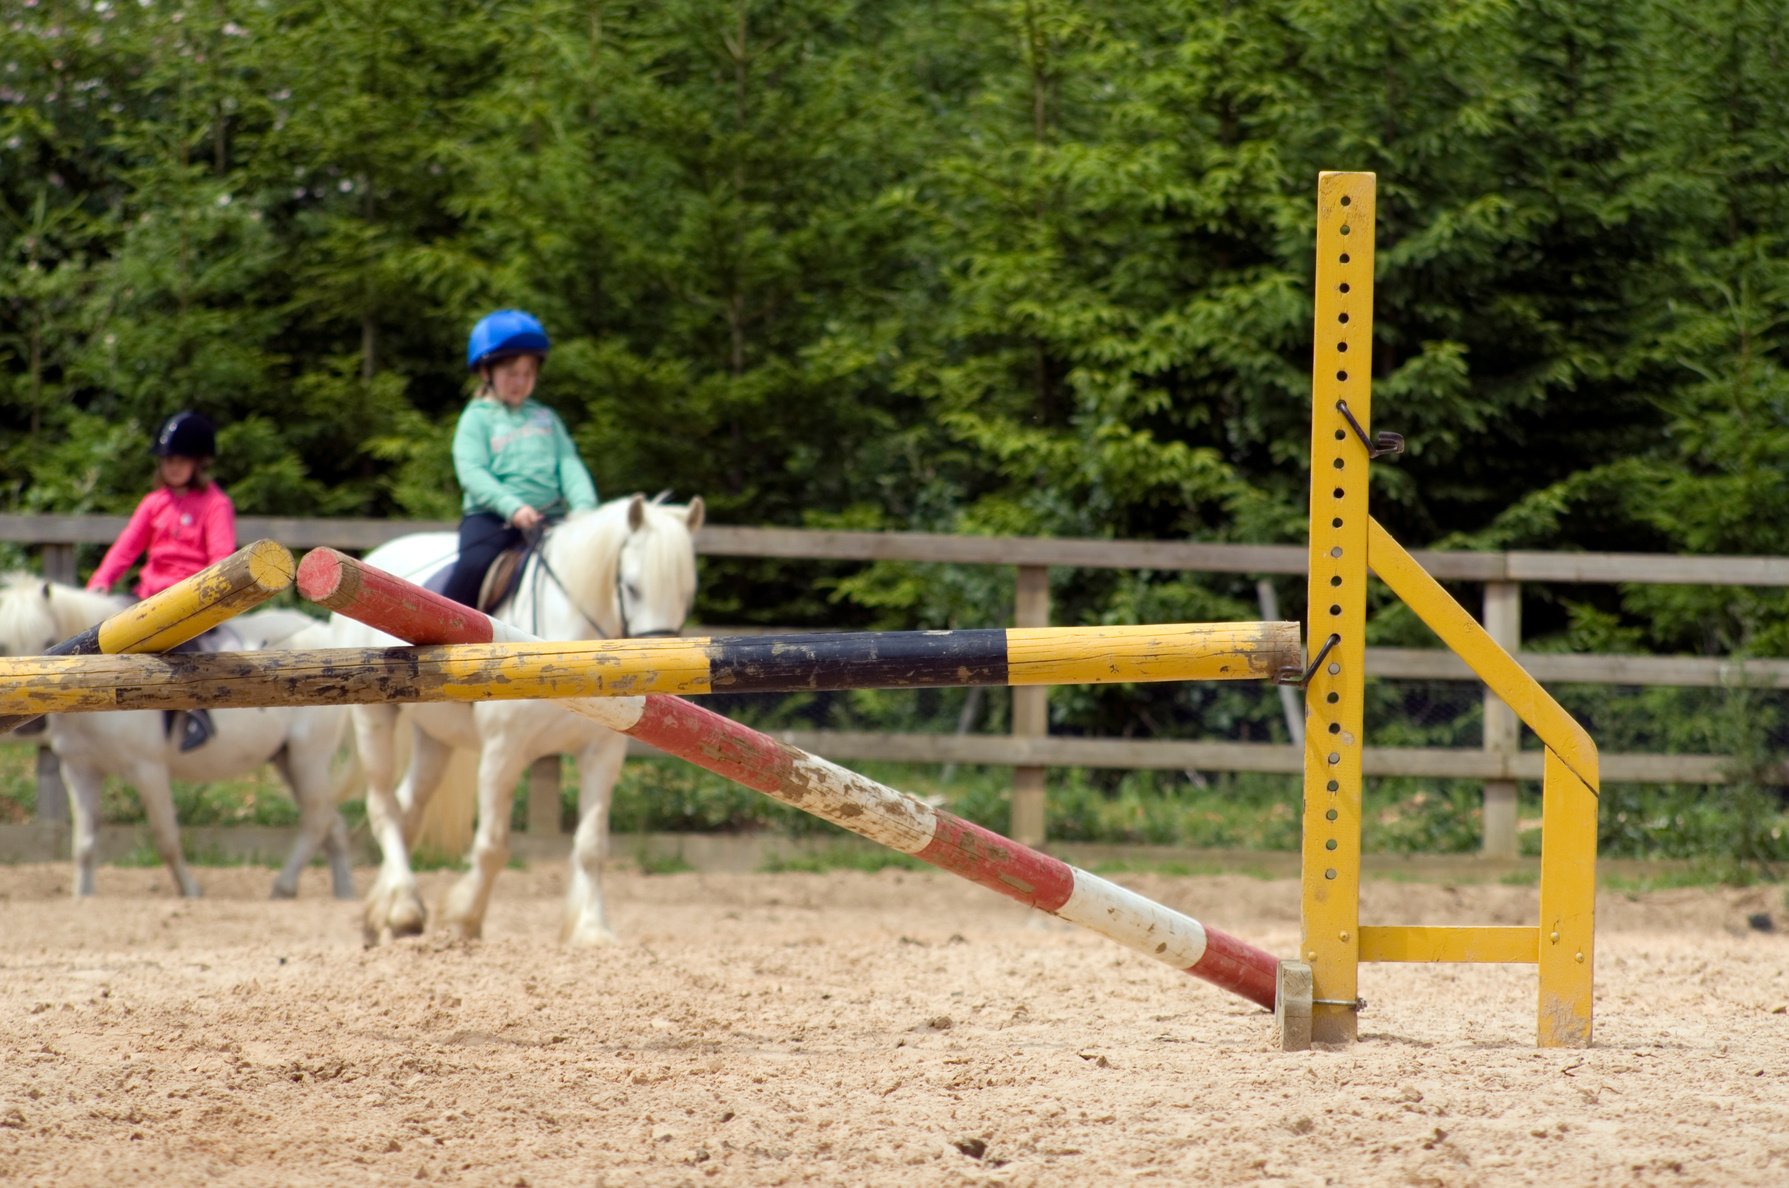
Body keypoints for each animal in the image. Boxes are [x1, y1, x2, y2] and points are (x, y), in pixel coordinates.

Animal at [0, 576, 356, 901]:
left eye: (47, 639)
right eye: (4, 646)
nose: (29, 725)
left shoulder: (148, 769)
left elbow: (166, 838)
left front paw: (190, 891)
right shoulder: (80, 770)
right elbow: (85, 844)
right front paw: (83, 898)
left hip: (308, 757)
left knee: (317, 819)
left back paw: (284, 887)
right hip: (285, 759)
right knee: (333, 824)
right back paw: (343, 893)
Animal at [338, 490, 701, 944]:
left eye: (688, 593)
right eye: (631, 587)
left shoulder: (602, 754)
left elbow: (591, 847)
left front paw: (592, 929)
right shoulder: (503, 752)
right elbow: (493, 846)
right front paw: (464, 918)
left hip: (435, 736)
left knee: (408, 809)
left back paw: (385, 911)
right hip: (374, 719)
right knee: (384, 805)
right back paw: (403, 907)